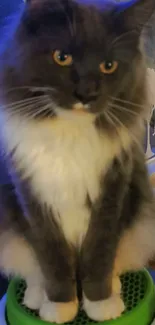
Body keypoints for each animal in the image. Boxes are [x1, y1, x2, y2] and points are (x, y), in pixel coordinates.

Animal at [0, 0, 155, 322]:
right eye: (62, 57)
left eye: (108, 66)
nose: (87, 94)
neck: (70, 134)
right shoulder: (33, 203)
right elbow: (53, 261)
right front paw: (60, 307)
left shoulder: (111, 195)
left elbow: (99, 256)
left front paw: (100, 305)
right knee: (34, 271)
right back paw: (37, 297)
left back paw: (114, 289)